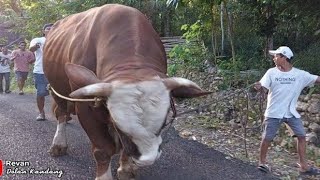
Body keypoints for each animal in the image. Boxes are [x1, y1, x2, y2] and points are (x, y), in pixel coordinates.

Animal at [43, 3, 210, 179]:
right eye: (118, 125)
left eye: (165, 121)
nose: (147, 159)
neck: (132, 67)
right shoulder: (85, 106)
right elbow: (102, 150)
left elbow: (123, 147)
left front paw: (126, 169)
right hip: (57, 90)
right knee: (61, 113)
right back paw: (58, 144)